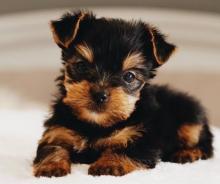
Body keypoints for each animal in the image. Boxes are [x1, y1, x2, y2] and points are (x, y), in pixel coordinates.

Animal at [32, 10, 213, 178]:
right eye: (82, 66)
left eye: (129, 76)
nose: (99, 94)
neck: (96, 124)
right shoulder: (58, 130)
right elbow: (52, 147)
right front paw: (51, 166)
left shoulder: (142, 137)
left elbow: (125, 149)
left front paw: (108, 165)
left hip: (190, 119)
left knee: (205, 145)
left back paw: (186, 153)